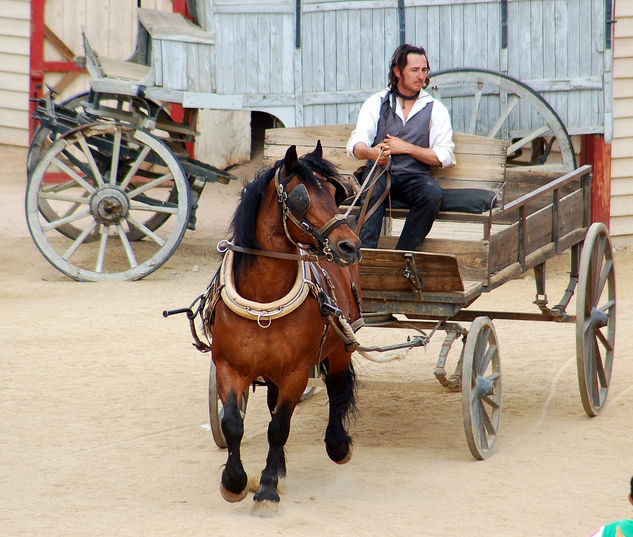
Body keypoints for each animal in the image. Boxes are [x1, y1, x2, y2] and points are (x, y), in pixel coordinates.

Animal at [207, 142, 362, 510]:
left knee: (335, 388)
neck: (264, 299)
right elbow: (233, 423)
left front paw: (266, 488)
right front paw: (234, 482)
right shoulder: (228, 366)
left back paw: (336, 445)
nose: (350, 245)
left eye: (335, 193)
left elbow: (279, 427)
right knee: (272, 403)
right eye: (301, 197)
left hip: (339, 348)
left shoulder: (296, 371)